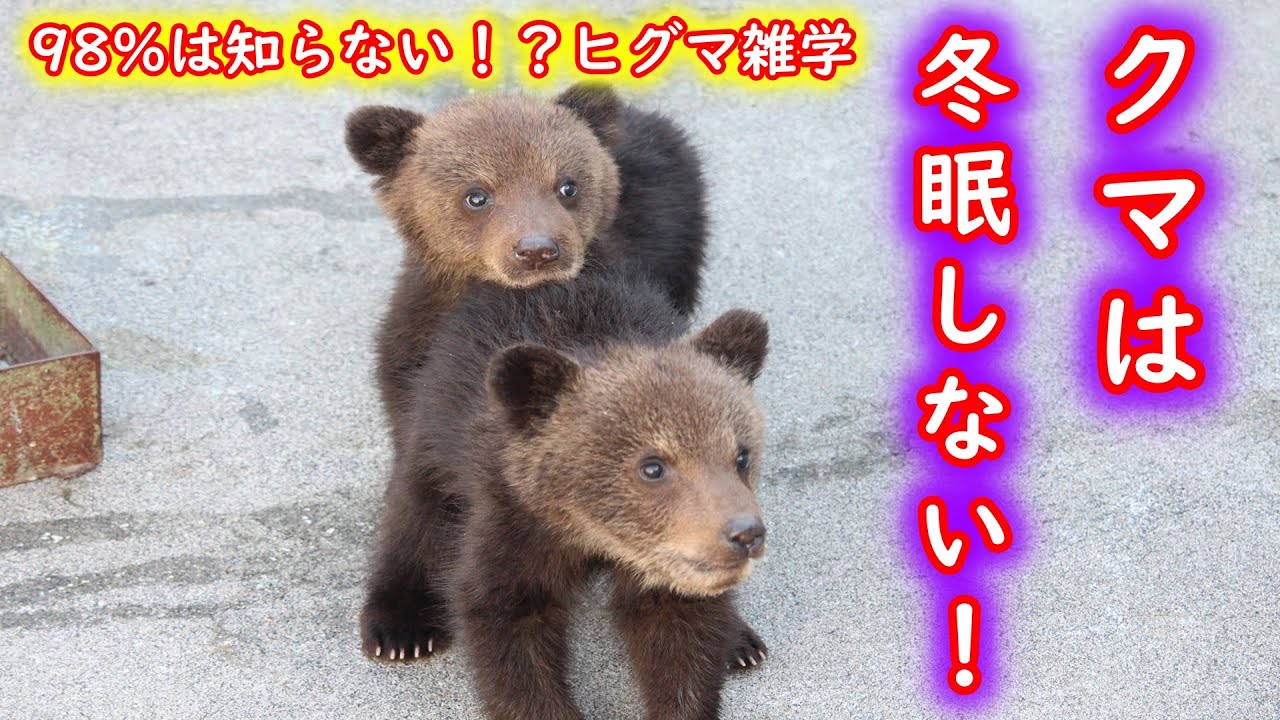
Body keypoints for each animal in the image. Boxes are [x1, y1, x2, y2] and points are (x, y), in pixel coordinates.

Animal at [359, 270, 771, 720]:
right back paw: (400, 627)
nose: (745, 533)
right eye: (653, 466)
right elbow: (505, 621)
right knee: (417, 515)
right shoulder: (514, 519)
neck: (592, 534)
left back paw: (741, 643)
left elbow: (681, 637)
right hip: (434, 429)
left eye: (741, 455)